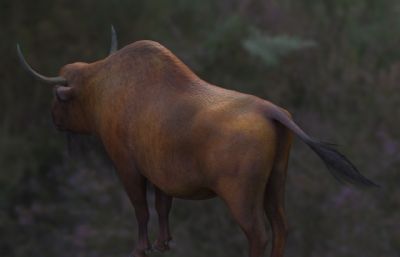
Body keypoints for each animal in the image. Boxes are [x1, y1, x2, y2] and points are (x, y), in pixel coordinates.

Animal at [16, 27, 378, 256]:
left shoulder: (127, 167)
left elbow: (141, 210)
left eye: (59, 98)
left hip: (241, 196)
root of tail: (273, 112)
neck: (102, 88)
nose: (53, 118)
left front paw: (141, 248)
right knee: (281, 225)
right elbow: (162, 207)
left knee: (258, 232)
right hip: (276, 181)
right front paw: (164, 244)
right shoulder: (159, 173)